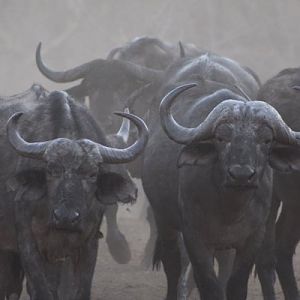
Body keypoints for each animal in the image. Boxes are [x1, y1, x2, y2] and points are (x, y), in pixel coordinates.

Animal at [0, 88, 148, 298]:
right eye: (51, 170)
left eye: (93, 174)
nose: (66, 217)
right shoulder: (27, 243)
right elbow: (42, 290)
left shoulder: (87, 244)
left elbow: (79, 290)